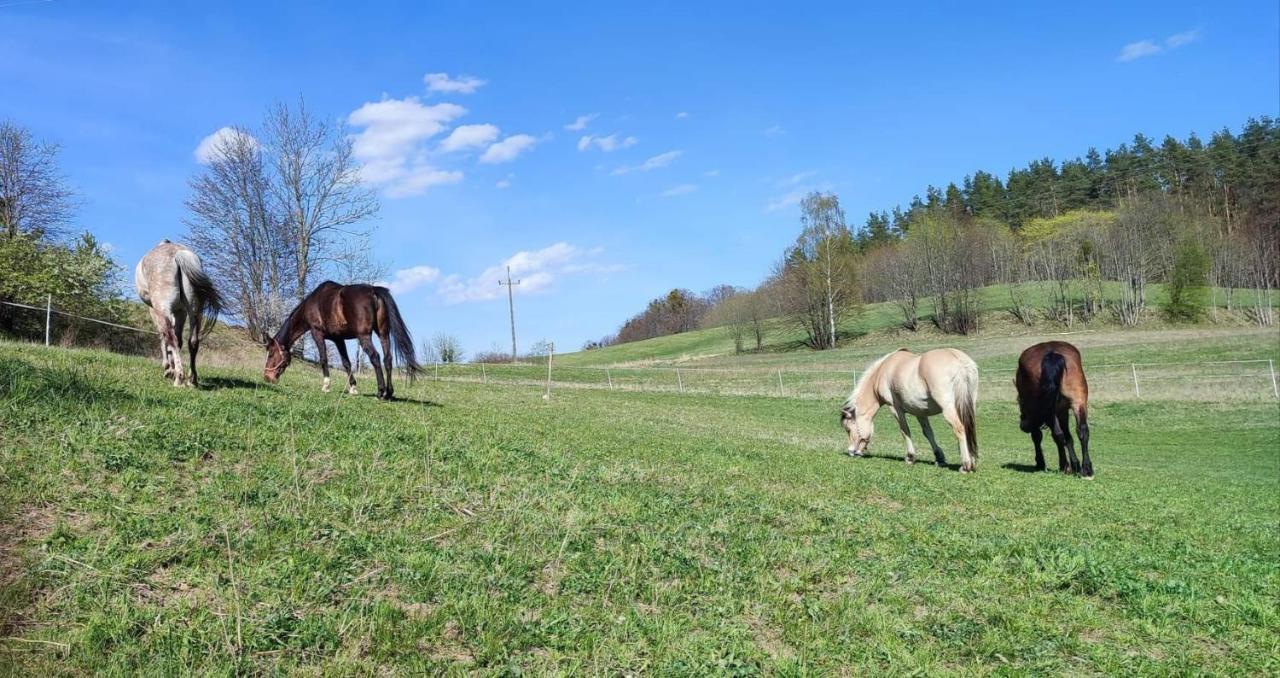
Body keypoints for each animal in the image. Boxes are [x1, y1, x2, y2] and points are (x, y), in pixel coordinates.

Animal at [135, 240, 222, 386]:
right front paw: (171, 368)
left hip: (162, 308)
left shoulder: (155, 311)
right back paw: (192, 380)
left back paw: (178, 378)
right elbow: (179, 339)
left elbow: (164, 337)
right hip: (194, 312)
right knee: (192, 341)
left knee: (172, 339)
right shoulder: (180, 312)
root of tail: (178, 255)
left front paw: (168, 368)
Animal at [262, 278, 422, 399]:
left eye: (271, 354)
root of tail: (373, 290)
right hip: (383, 334)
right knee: (387, 359)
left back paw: (380, 391)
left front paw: (326, 386)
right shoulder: (338, 339)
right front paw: (353, 388)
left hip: (364, 336)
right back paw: (389, 393)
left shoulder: (317, 334)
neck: (313, 303)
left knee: (375, 357)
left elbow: (324, 359)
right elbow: (346, 363)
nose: (267, 377)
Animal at [839, 347, 977, 470]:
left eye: (848, 429)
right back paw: (972, 461)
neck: (883, 371)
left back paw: (966, 465)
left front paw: (910, 457)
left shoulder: (895, 409)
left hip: (948, 408)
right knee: (969, 428)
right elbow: (928, 433)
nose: (851, 451)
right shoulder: (920, 411)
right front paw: (939, 458)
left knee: (959, 429)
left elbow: (905, 431)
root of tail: (959, 360)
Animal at [1013, 337, 1095, 475]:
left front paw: (1041, 462)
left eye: (1021, 403)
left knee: (1057, 434)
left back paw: (1064, 466)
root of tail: (1051, 353)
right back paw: (1087, 469)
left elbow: (1038, 436)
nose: (1023, 426)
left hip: (1049, 410)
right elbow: (1068, 437)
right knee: (1082, 431)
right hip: (1078, 402)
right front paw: (1076, 465)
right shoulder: (1063, 411)